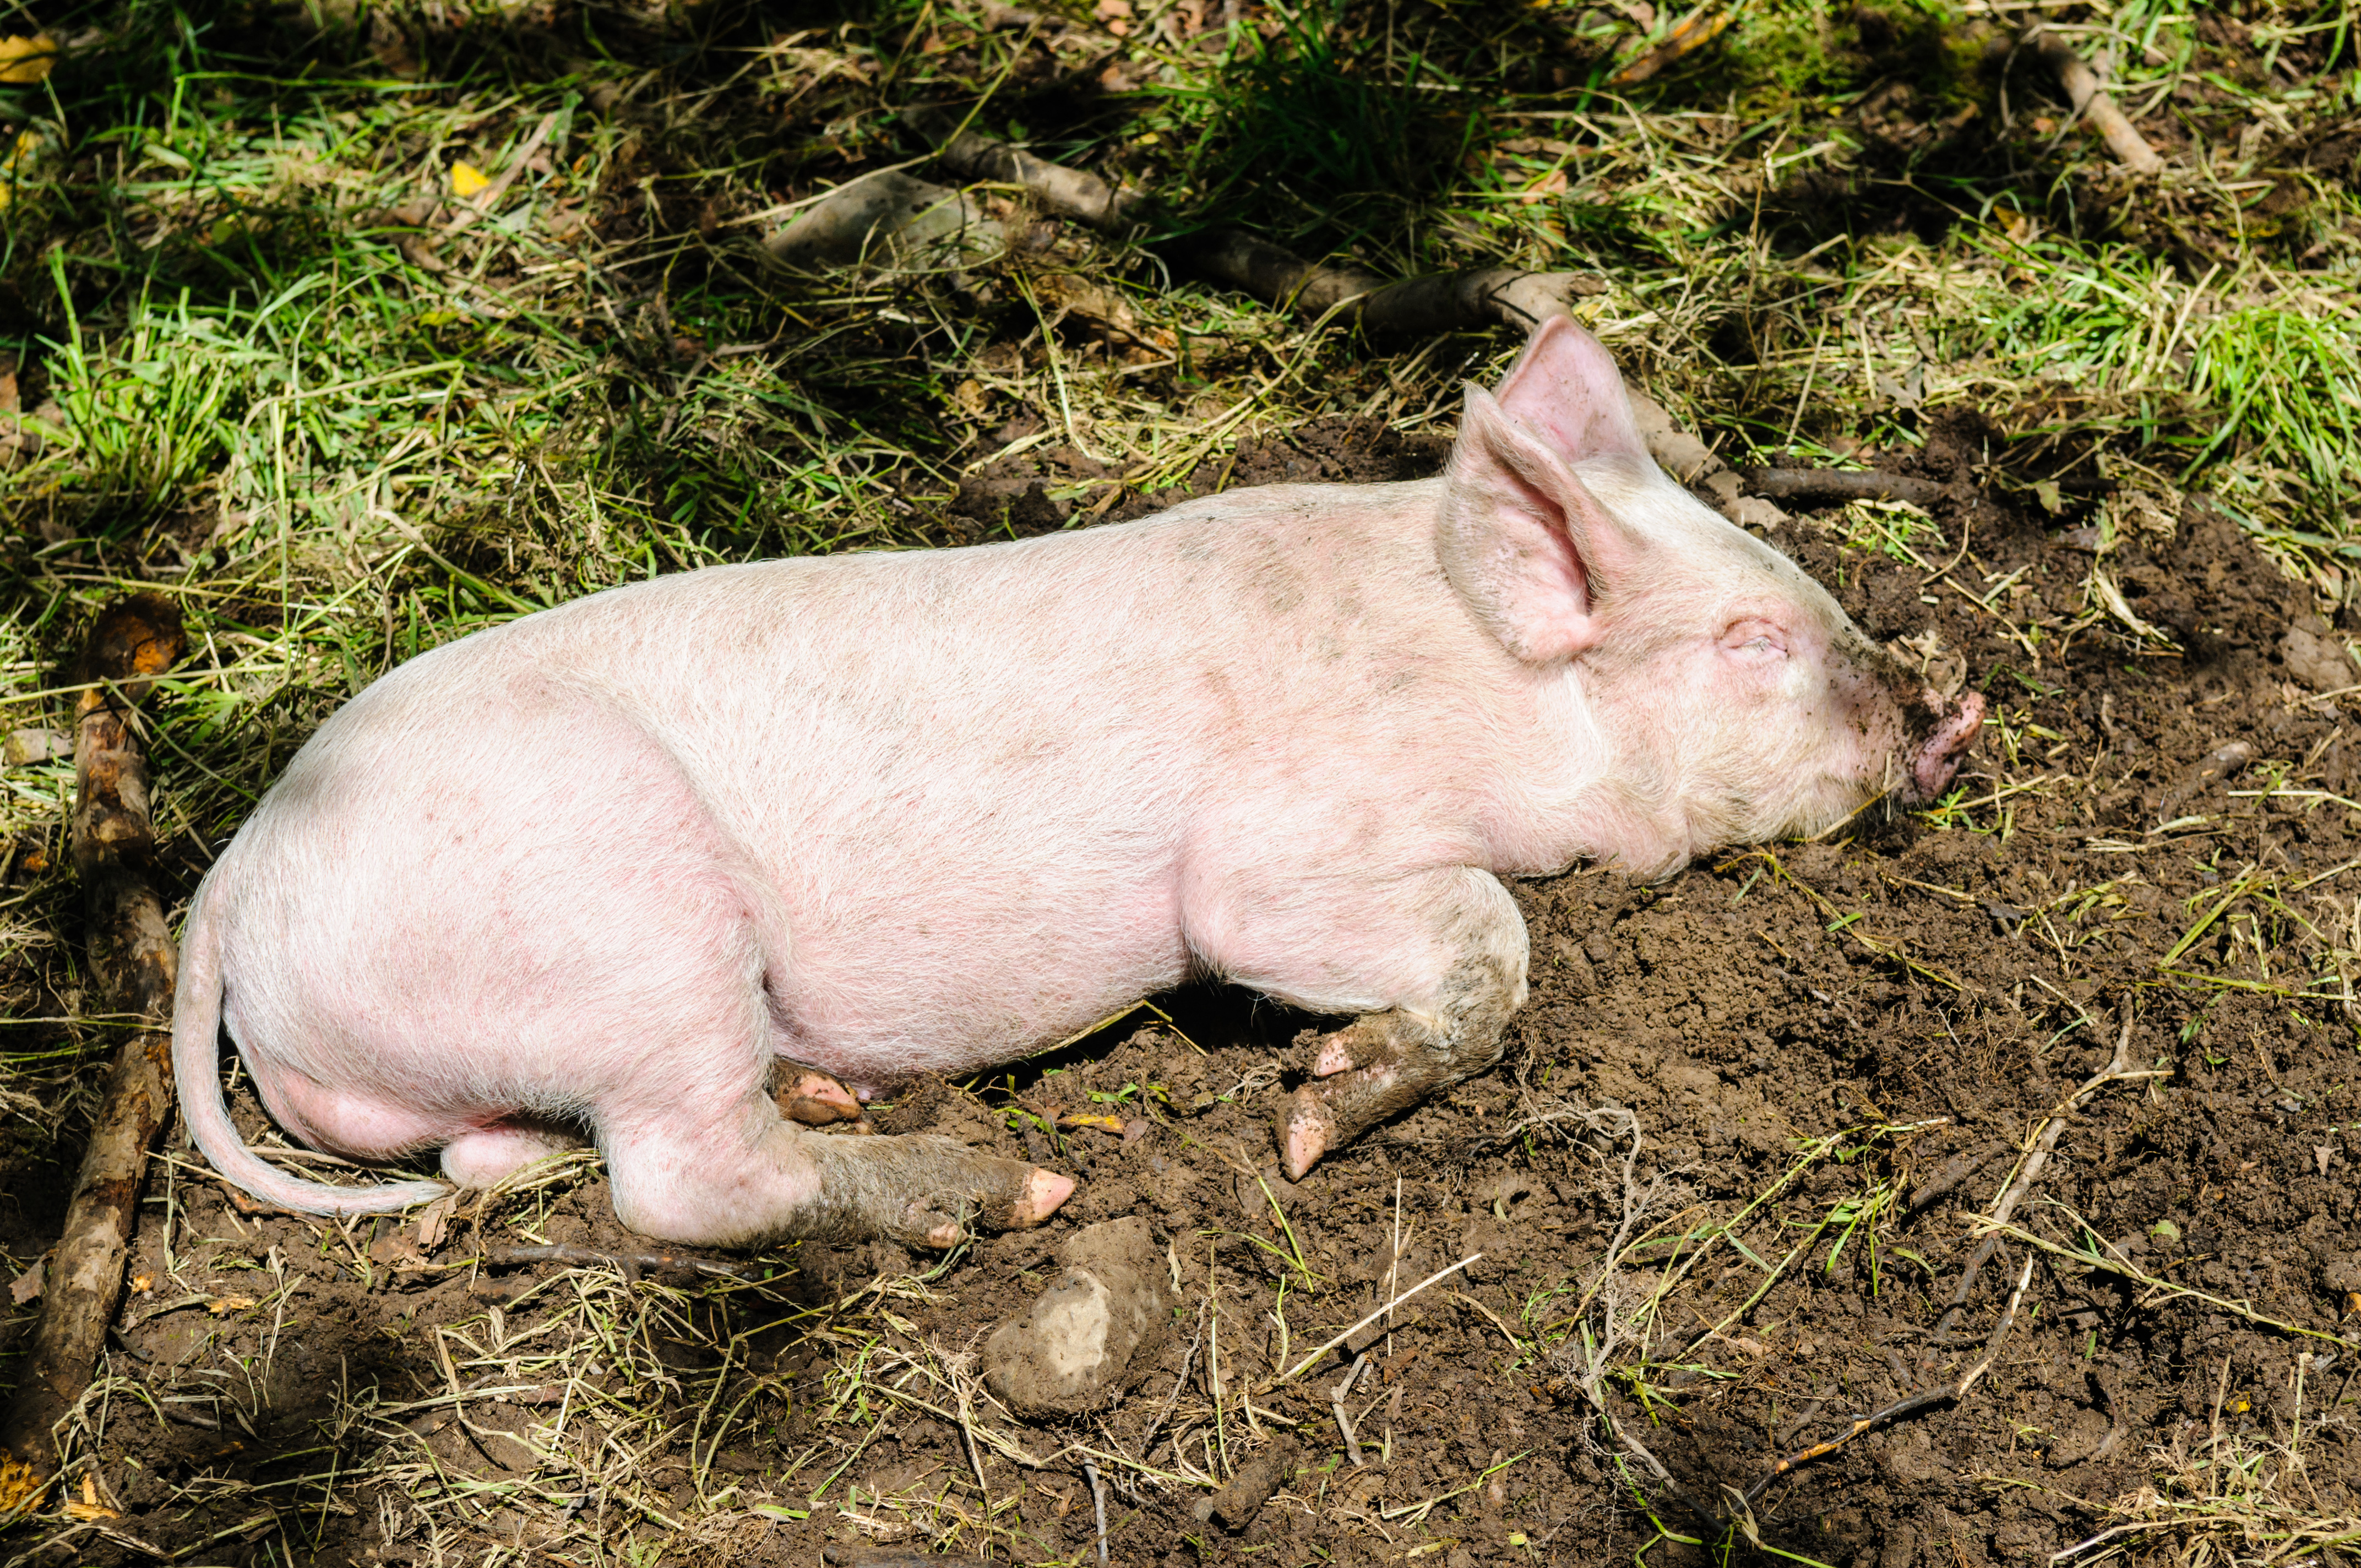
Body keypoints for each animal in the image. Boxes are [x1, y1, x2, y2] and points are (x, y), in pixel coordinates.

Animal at [171, 316, 1983, 1249]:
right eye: (1750, 637)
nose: (1944, 712)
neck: (1464, 676)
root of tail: (240, 872)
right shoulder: (1271, 863)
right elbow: (1478, 925)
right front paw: (1312, 1116)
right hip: (628, 915)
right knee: (683, 1177)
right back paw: (997, 1186)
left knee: (509, 1156)